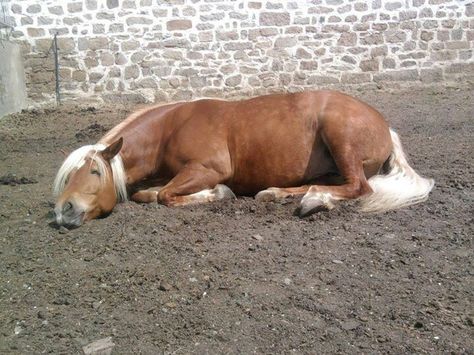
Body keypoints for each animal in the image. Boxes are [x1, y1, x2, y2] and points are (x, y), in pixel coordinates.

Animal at [53, 91, 436, 228]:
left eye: (94, 171)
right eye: (68, 177)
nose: (62, 211)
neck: (171, 129)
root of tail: (384, 125)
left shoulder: (207, 169)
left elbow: (165, 195)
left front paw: (219, 194)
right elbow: (145, 193)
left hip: (340, 137)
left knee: (359, 187)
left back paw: (315, 202)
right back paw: (278, 193)